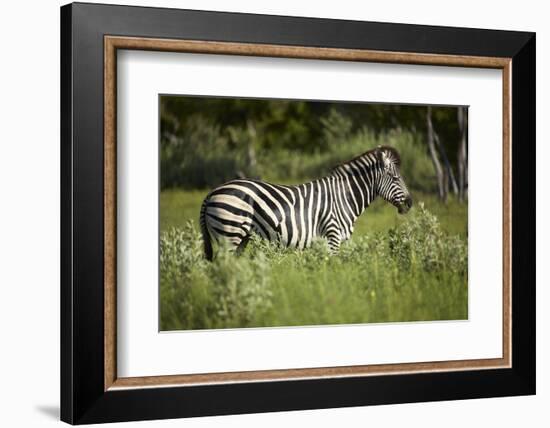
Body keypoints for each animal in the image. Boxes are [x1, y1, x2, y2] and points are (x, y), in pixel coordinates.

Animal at [201, 146, 412, 260]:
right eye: (395, 178)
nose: (410, 203)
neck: (344, 198)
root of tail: (212, 192)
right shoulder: (332, 236)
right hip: (229, 233)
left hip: (240, 237)